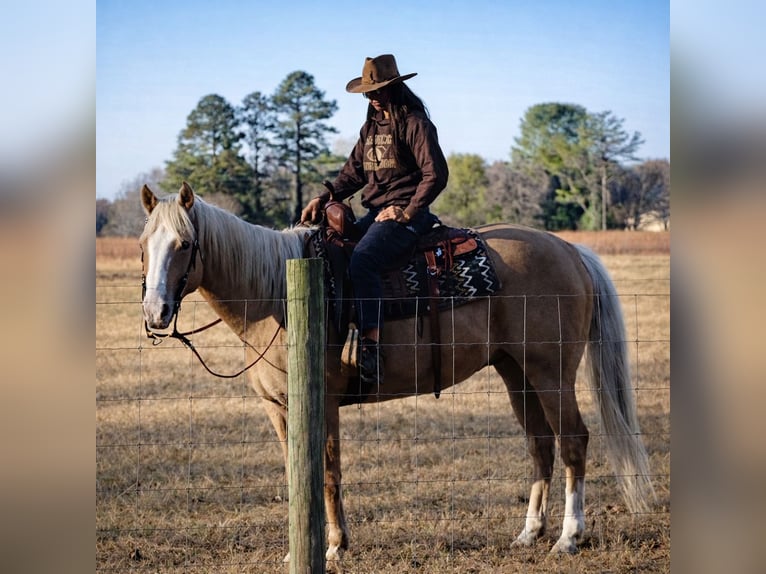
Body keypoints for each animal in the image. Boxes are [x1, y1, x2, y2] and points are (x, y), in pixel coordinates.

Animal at [140, 182, 654, 566]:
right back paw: (529, 533)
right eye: (145, 246)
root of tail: (570, 249)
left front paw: (334, 546)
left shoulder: (324, 403)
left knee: (573, 441)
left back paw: (568, 537)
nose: (155, 312)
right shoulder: (277, 408)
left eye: (186, 244)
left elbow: (328, 471)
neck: (276, 293)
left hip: (551, 372)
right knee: (540, 444)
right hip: (516, 372)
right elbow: (296, 472)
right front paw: (299, 549)